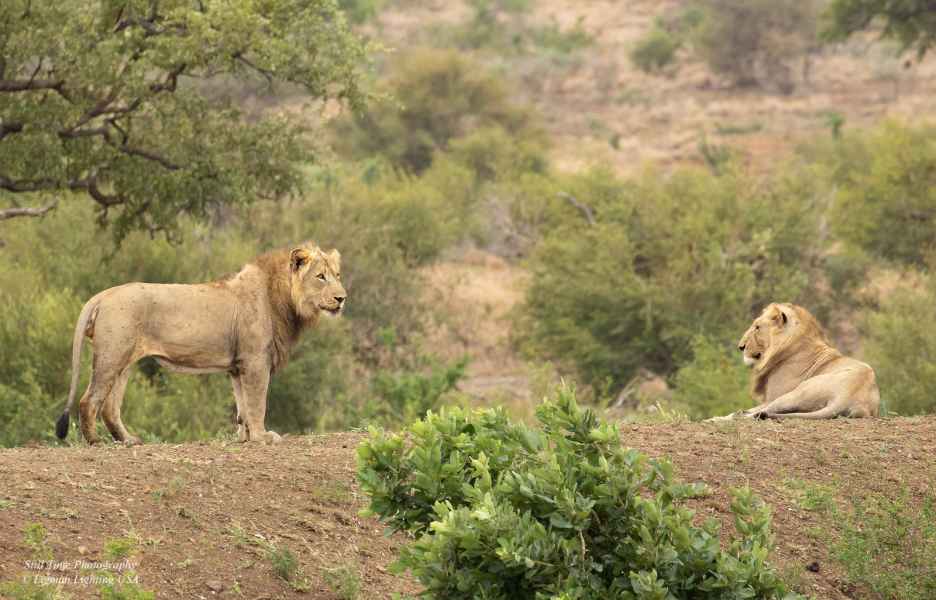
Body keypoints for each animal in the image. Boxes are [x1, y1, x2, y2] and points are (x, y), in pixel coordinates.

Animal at [54, 242, 346, 445]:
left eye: (338, 274)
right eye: (320, 276)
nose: (342, 298)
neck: (282, 299)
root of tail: (104, 294)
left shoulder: (238, 366)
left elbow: (242, 405)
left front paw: (244, 437)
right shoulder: (255, 361)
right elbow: (257, 402)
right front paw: (262, 437)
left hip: (124, 361)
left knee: (110, 408)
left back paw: (128, 440)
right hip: (111, 357)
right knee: (89, 400)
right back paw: (95, 441)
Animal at [709, 303, 879, 421]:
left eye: (757, 327)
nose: (741, 346)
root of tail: (846, 398)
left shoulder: (773, 396)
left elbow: (757, 408)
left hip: (797, 392)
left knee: (759, 413)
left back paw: (723, 418)